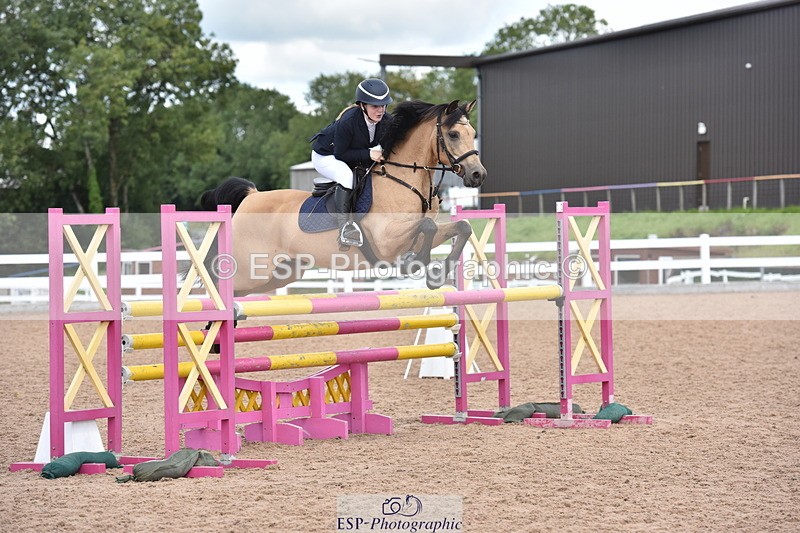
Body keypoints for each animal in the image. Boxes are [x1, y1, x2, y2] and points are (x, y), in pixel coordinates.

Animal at [200, 99, 487, 296]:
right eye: (453, 134)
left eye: (473, 134)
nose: (478, 175)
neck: (405, 179)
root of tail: (252, 196)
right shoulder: (387, 240)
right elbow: (427, 226)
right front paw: (413, 264)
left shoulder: (410, 236)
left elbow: (461, 226)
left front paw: (437, 274)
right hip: (251, 270)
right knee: (219, 283)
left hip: (278, 273)